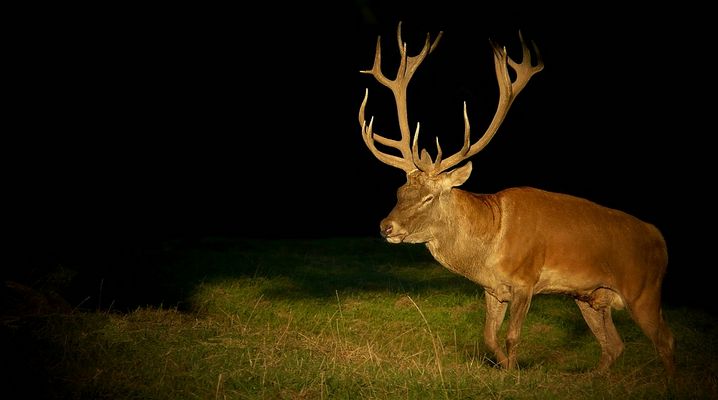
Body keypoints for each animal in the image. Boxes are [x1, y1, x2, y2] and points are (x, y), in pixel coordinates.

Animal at [358, 22, 675, 375]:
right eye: (399, 192)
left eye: (428, 198)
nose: (386, 226)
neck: (489, 244)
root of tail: (660, 239)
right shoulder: (492, 289)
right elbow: (489, 337)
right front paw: (505, 370)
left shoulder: (526, 280)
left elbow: (512, 337)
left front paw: (514, 376)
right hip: (591, 296)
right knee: (614, 346)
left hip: (643, 289)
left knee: (665, 341)